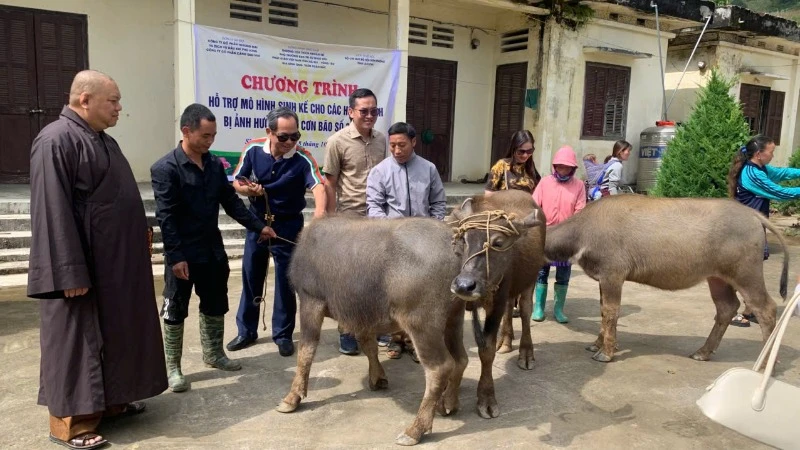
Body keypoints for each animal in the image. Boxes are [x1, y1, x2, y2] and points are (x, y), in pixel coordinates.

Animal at [446, 189, 548, 418]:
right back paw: (506, 340)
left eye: (498, 243)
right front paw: (449, 394)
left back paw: (525, 353)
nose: (464, 285)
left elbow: (486, 351)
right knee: (511, 308)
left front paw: (486, 398)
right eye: (464, 239)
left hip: (529, 280)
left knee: (525, 311)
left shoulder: (496, 303)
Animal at [544, 195, 788, 364]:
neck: (583, 231)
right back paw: (703, 352)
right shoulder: (604, 280)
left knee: (766, 308)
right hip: (718, 278)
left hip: (747, 274)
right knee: (727, 308)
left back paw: (765, 361)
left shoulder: (613, 276)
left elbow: (610, 312)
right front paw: (597, 344)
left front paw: (606, 353)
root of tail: (752, 215)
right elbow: (603, 311)